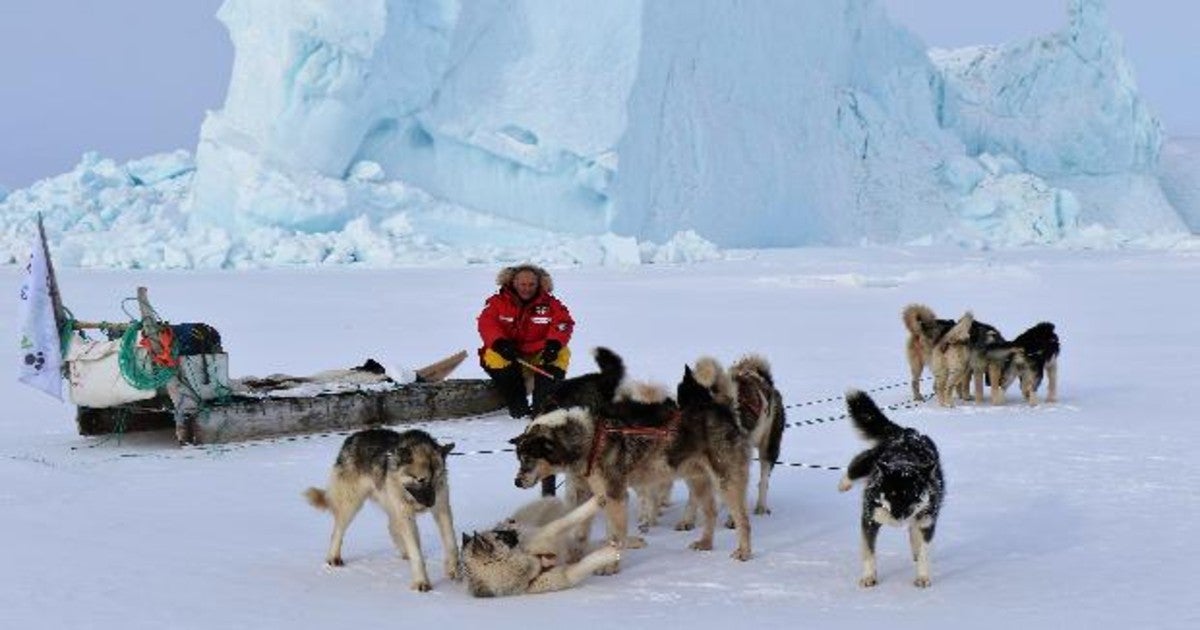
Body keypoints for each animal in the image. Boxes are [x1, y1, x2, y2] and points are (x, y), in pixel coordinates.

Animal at [304, 424, 458, 592]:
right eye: (421, 480)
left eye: (437, 480)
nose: (430, 504)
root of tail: (352, 437)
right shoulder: (405, 514)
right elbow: (416, 553)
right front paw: (421, 582)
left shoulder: (442, 509)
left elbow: (451, 543)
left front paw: (454, 570)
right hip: (352, 504)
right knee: (337, 531)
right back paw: (333, 558)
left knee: (391, 527)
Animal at [460, 496, 624, 595]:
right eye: (501, 535)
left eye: (497, 531)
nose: (511, 521)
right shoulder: (563, 576)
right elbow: (586, 563)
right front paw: (610, 553)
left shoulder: (547, 533)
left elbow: (564, 521)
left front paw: (595, 501)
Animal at [835, 391, 945, 588]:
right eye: (891, 495)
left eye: (914, 496)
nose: (898, 517)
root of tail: (906, 432)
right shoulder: (870, 520)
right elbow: (869, 552)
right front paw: (869, 576)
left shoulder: (927, 522)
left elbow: (924, 552)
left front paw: (922, 577)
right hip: (869, 461)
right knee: (854, 466)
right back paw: (844, 484)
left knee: (914, 533)